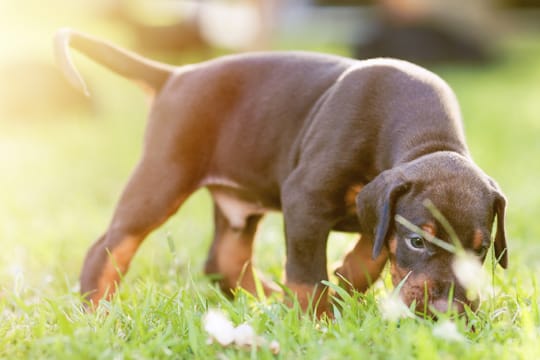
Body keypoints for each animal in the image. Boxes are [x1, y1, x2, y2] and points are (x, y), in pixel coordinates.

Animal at [53, 28, 506, 316]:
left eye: (481, 250)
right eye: (417, 241)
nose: (447, 311)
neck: (427, 137)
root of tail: (174, 75)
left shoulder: (373, 209)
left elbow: (372, 253)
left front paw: (344, 281)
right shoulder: (306, 197)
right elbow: (307, 273)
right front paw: (315, 321)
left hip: (239, 204)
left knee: (225, 261)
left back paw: (269, 298)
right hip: (163, 177)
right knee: (109, 247)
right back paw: (97, 313)